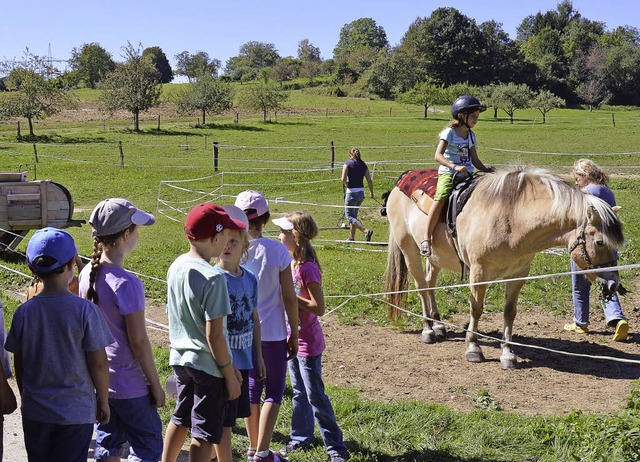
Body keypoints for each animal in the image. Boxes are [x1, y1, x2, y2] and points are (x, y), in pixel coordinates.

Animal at [382, 166, 624, 368]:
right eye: (600, 242)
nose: (613, 284)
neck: (511, 218)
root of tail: (401, 180)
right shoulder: (479, 272)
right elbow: (476, 309)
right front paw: (473, 348)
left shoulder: (518, 275)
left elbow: (509, 312)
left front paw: (507, 354)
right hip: (408, 248)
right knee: (422, 286)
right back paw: (428, 330)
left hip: (435, 257)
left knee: (430, 283)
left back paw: (439, 325)